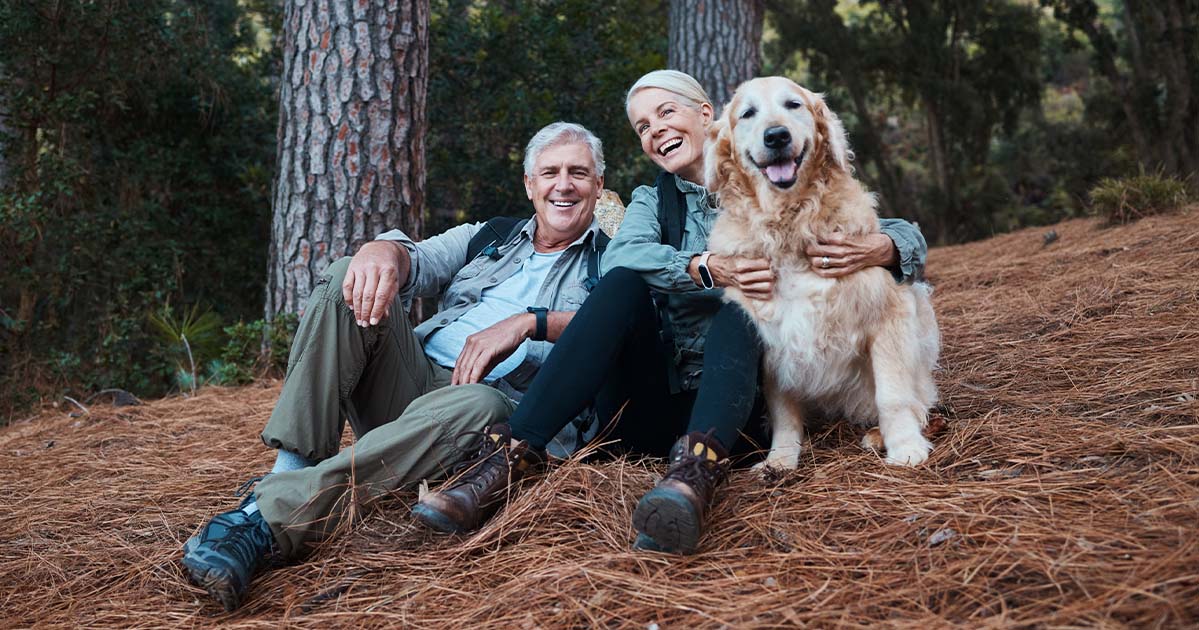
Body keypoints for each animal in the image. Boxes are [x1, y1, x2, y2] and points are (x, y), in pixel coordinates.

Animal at [700, 76, 935, 463]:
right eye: (748, 113)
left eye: (793, 104)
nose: (776, 136)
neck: (790, 224)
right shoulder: (770, 337)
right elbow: (783, 411)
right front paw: (780, 459)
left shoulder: (889, 311)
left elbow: (893, 395)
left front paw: (904, 445)